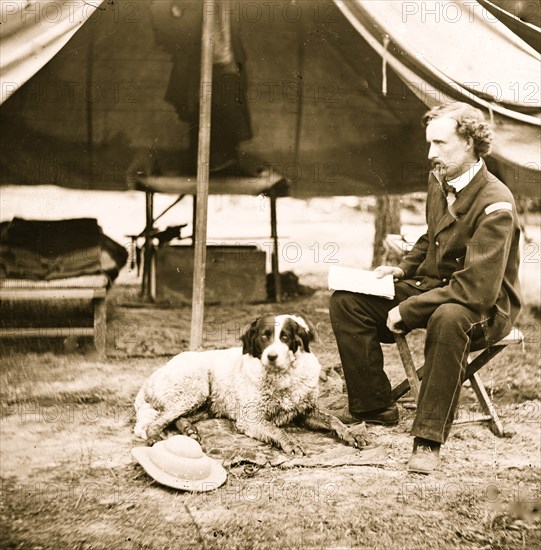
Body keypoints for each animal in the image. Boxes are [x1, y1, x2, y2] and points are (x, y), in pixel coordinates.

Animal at [133, 314, 368, 458]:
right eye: (264, 336)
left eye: (285, 337)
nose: (272, 356)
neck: (282, 377)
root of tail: (149, 380)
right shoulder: (250, 419)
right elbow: (275, 429)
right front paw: (291, 443)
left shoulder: (305, 411)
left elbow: (334, 420)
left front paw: (352, 434)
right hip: (194, 389)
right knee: (155, 422)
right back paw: (155, 437)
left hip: (205, 404)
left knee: (177, 419)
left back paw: (190, 431)